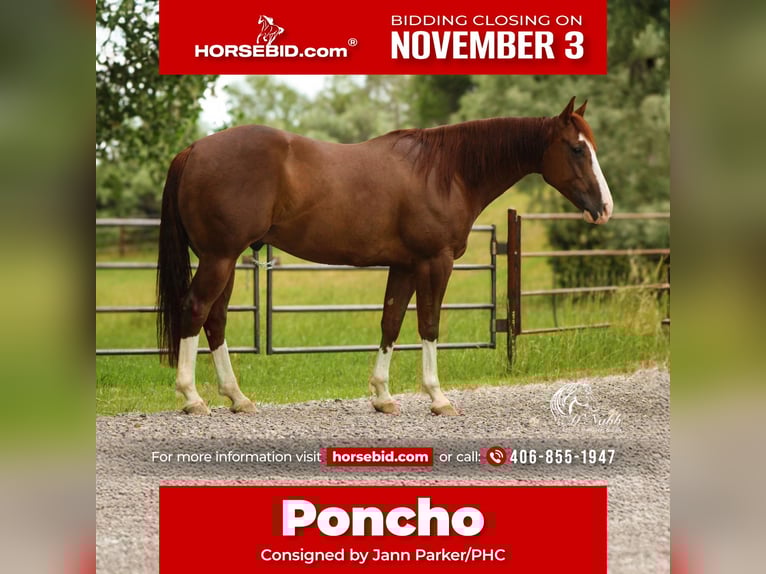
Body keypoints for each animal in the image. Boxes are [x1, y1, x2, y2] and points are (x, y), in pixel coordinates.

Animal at [156, 97, 613, 416]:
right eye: (576, 149)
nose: (605, 208)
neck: (446, 172)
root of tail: (194, 149)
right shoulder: (435, 262)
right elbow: (429, 324)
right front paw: (438, 398)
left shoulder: (405, 265)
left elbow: (390, 321)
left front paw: (382, 396)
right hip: (219, 258)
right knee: (196, 309)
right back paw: (192, 398)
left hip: (225, 259)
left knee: (215, 320)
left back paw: (237, 397)